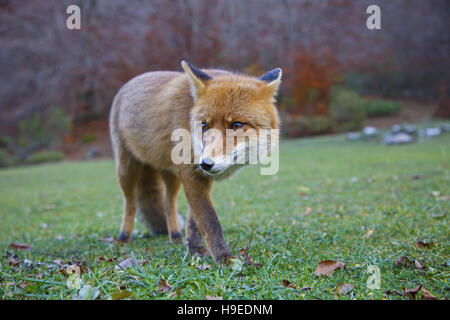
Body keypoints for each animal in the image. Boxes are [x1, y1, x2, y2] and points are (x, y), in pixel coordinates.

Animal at [109, 60, 282, 262]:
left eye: (237, 125)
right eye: (204, 126)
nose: (205, 163)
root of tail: (129, 82)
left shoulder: (197, 176)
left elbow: (194, 220)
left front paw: (195, 249)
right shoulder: (191, 173)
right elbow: (210, 221)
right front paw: (224, 259)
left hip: (172, 177)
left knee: (168, 204)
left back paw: (175, 236)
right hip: (127, 171)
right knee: (130, 203)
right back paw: (123, 238)